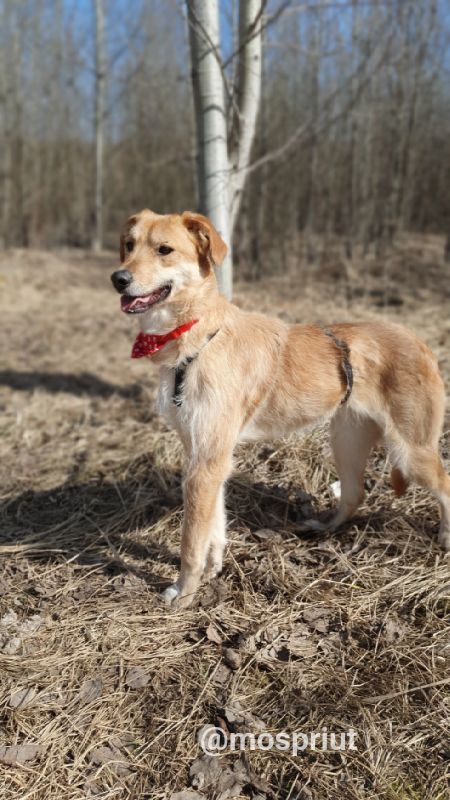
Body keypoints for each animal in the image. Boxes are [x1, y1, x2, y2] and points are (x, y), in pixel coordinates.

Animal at [111, 206, 450, 608]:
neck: (197, 333)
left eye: (164, 250)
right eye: (129, 245)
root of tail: (419, 340)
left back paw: (444, 538)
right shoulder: (206, 458)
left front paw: (184, 594)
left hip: (411, 450)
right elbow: (214, 528)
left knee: (444, 484)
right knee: (354, 493)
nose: (118, 279)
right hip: (346, 442)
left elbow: (191, 542)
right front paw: (213, 572)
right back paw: (324, 528)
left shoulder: (206, 463)